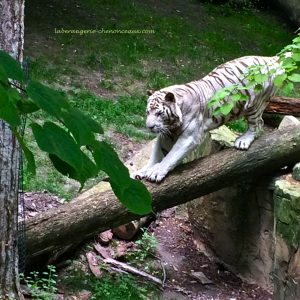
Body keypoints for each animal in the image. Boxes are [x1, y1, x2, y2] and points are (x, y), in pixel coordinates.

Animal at [136, 55, 282, 183]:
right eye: (148, 112)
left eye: (159, 114)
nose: (149, 127)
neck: (172, 124)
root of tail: (270, 58)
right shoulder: (166, 134)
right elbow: (157, 154)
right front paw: (143, 171)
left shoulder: (189, 137)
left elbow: (171, 156)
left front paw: (156, 172)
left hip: (254, 104)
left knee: (257, 124)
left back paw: (243, 141)